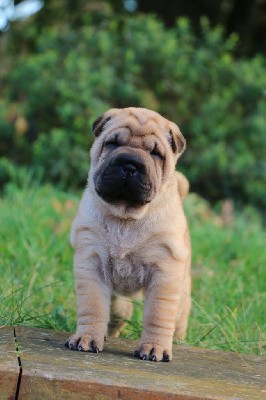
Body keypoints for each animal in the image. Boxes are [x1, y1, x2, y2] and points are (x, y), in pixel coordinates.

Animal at [66, 107, 191, 362]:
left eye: (155, 153)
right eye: (112, 143)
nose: (130, 163)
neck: (126, 218)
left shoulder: (165, 272)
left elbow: (158, 314)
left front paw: (154, 347)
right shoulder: (91, 262)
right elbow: (93, 306)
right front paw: (87, 337)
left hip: (182, 294)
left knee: (178, 319)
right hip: (119, 301)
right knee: (118, 313)